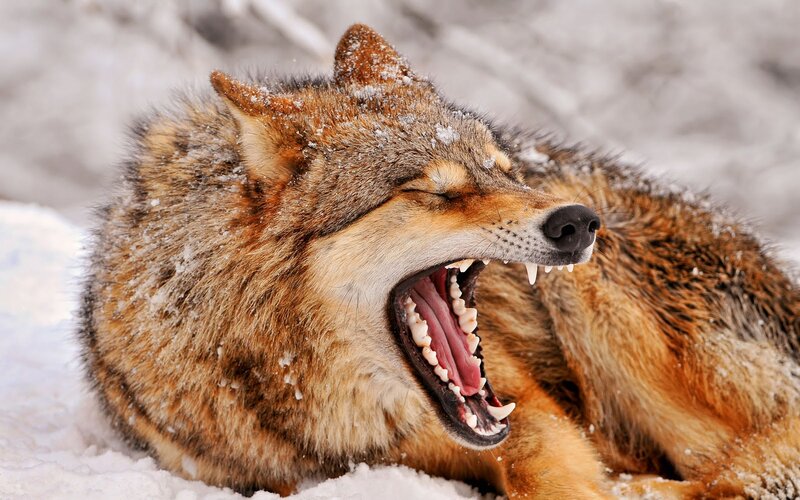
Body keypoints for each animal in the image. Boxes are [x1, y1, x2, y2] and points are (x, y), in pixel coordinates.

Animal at [80, 24, 800, 498]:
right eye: (437, 192)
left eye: (504, 171)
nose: (575, 222)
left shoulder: (528, 411)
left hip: (599, 304)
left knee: (732, 470)